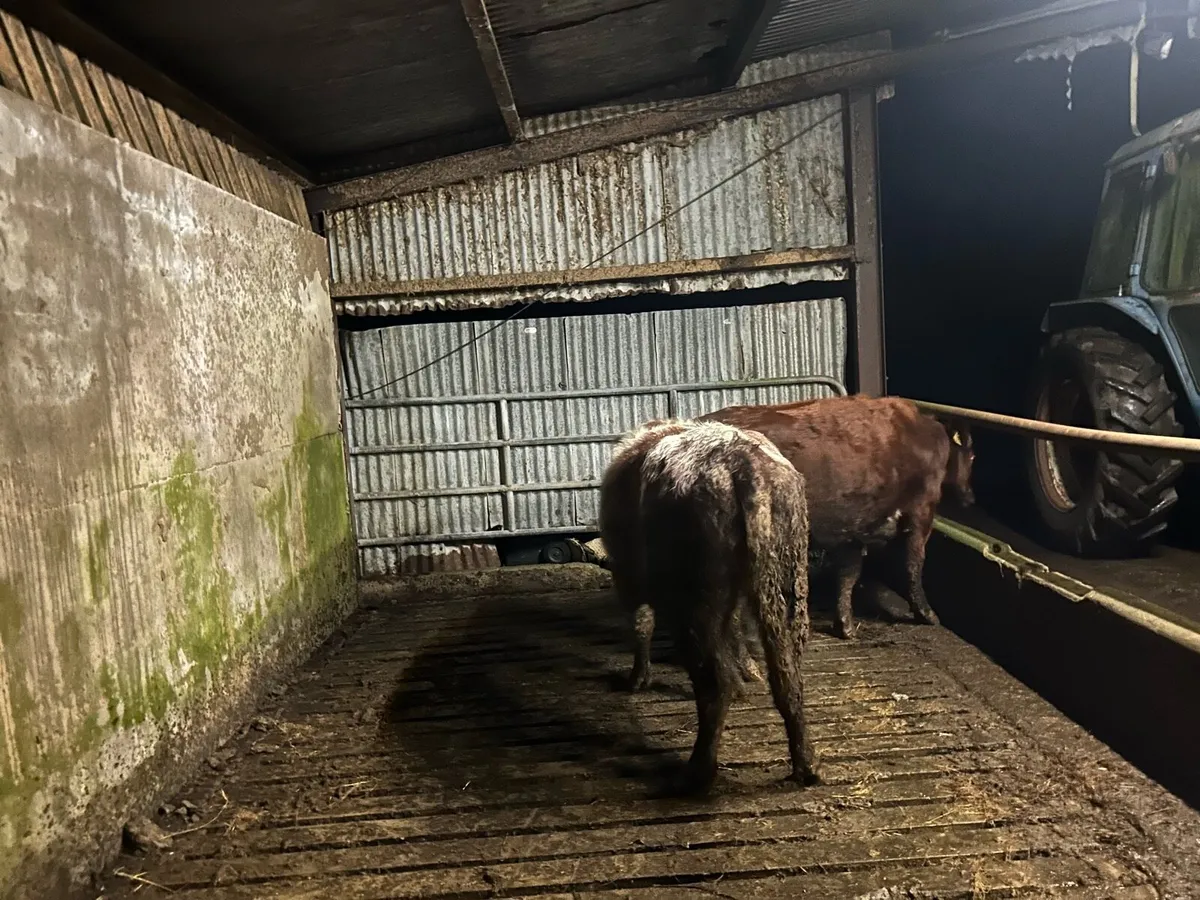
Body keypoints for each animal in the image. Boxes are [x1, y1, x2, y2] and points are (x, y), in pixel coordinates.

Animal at [598, 419, 819, 795]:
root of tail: (743, 463)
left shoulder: (631, 576)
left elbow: (642, 621)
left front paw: (637, 678)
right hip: (785, 580)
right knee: (787, 676)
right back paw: (805, 766)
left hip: (696, 596)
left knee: (715, 682)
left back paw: (698, 773)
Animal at [699, 395, 975, 641]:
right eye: (972, 456)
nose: (971, 498)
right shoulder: (920, 512)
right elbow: (913, 564)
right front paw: (927, 614)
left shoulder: (853, 528)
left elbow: (848, 573)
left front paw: (844, 624)